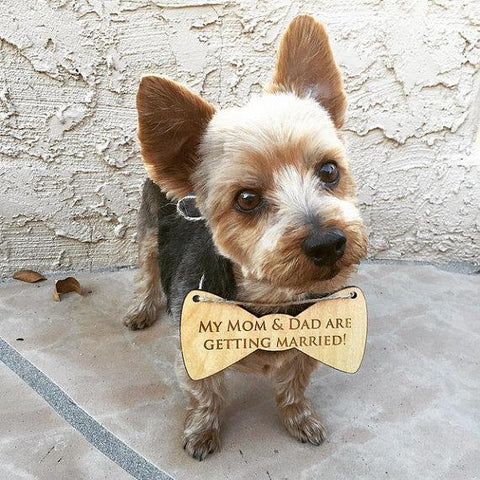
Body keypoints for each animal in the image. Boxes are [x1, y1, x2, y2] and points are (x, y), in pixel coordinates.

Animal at [124, 13, 368, 460]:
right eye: (247, 199)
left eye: (329, 170)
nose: (327, 243)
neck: (270, 302)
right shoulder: (192, 345)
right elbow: (206, 393)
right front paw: (202, 431)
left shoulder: (307, 340)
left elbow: (293, 385)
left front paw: (299, 418)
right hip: (149, 227)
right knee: (147, 270)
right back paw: (142, 309)